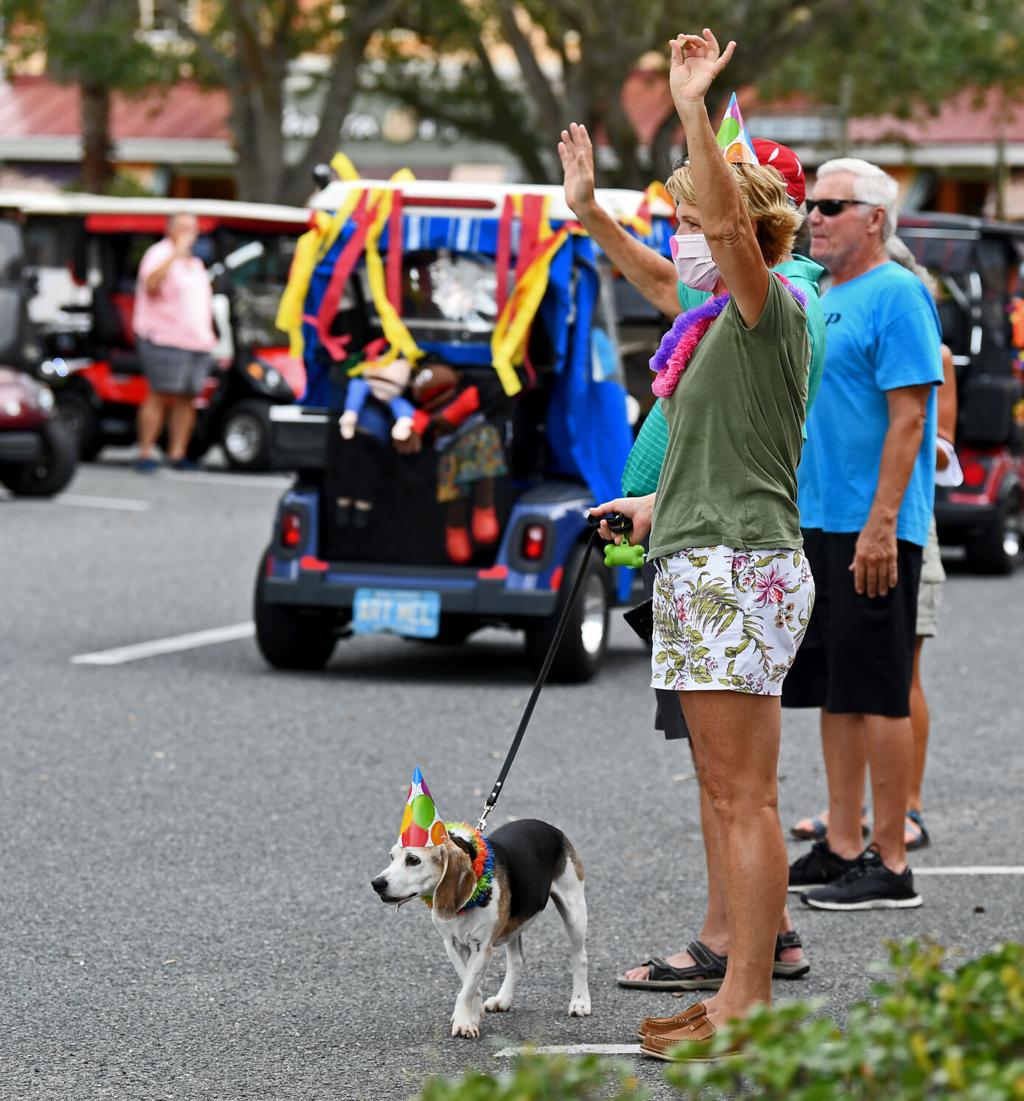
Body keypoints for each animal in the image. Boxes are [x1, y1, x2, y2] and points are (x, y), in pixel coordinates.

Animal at [372, 819, 585, 1039]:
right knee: (516, 960)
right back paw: (503, 999)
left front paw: (464, 1022)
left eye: (413, 860)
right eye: (391, 856)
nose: (376, 883)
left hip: (574, 909)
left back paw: (580, 1001)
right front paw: (473, 1013)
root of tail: (548, 826)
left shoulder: (482, 947)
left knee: (580, 957)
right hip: (515, 925)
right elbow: (468, 980)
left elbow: (467, 987)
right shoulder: (452, 944)